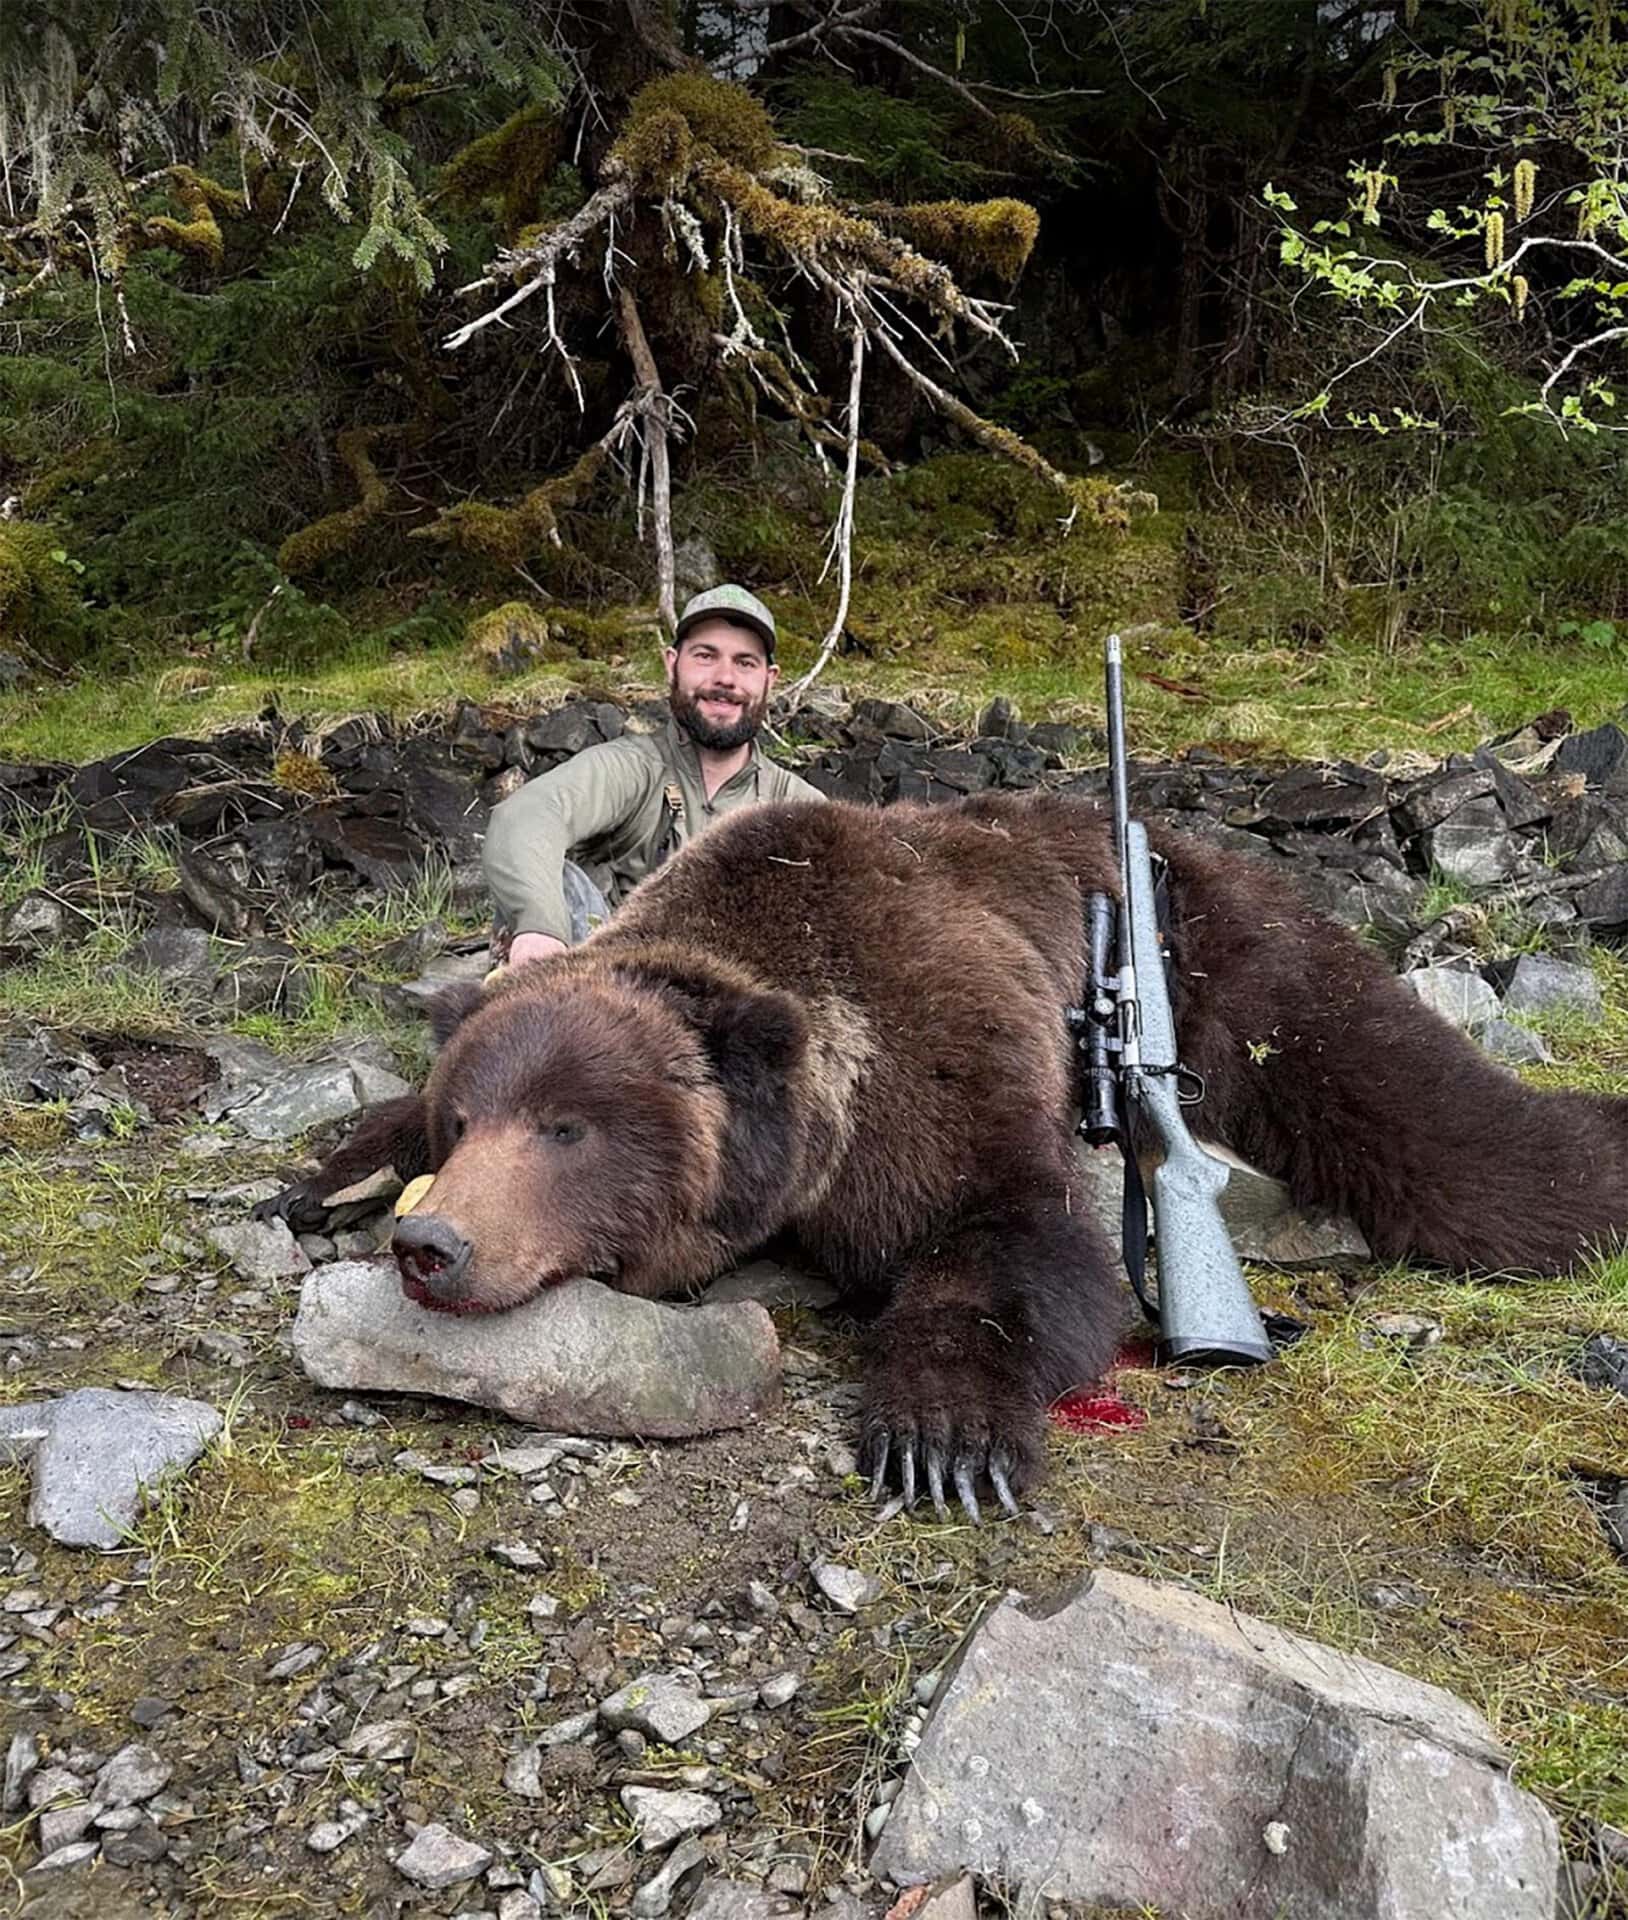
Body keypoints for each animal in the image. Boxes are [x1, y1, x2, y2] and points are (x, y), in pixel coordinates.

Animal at [266, 789, 1628, 1523]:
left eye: (566, 1127)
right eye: (466, 1123)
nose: (433, 1245)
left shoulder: (927, 1054)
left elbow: (1015, 1239)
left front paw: (940, 1438)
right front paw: (330, 1174)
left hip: (1235, 958)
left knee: (1416, 1118)